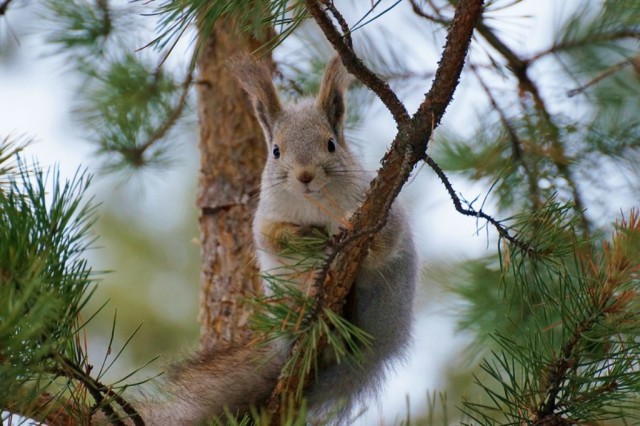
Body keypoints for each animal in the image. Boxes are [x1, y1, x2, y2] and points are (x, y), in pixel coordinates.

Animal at [92, 55, 418, 424]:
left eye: (331, 144)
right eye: (275, 151)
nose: (305, 175)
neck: (312, 203)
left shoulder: (381, 206)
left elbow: (385, 241)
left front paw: (347, 231)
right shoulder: (264, 218)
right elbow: (269, 238)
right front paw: (305, 238)